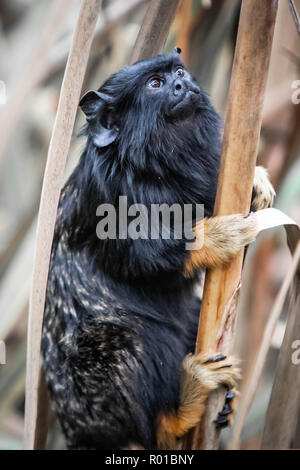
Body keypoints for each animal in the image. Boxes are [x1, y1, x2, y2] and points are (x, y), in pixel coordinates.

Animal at [41, 49, 274, 450]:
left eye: (178, 73)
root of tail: (79, 433)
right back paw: (180, 409)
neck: (155, 161)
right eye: (155, 84)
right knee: (127, 341)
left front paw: (257, 185)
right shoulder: (109, 191)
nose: (181, 85)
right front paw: (219, 235)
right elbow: (142, 256)